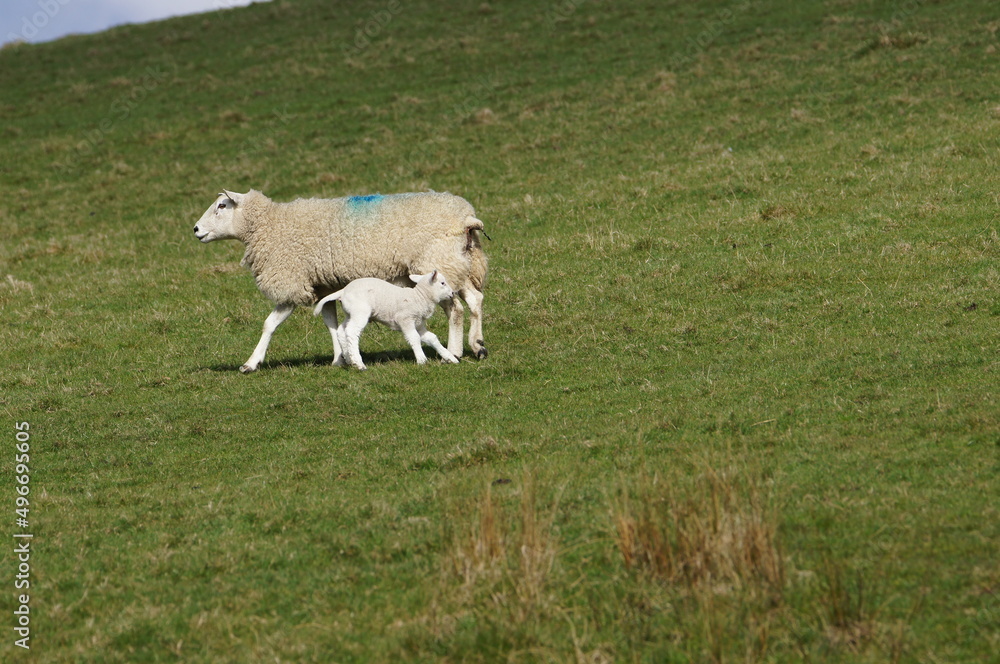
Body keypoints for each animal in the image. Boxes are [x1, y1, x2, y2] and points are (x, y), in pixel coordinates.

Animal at [313, 271, 460, 370]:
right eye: (442, 283)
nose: (453, 293)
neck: (419, 297)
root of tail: (343, 291)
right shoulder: (405, 319)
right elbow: (414, 338)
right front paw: (421, 359)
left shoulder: (418, 324)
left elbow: (432, 338)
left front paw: (450, 357)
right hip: (360, 311)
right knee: (351, 331)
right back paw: (359, 364)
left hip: (350, 313)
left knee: (341, 331)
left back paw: (350, 359)